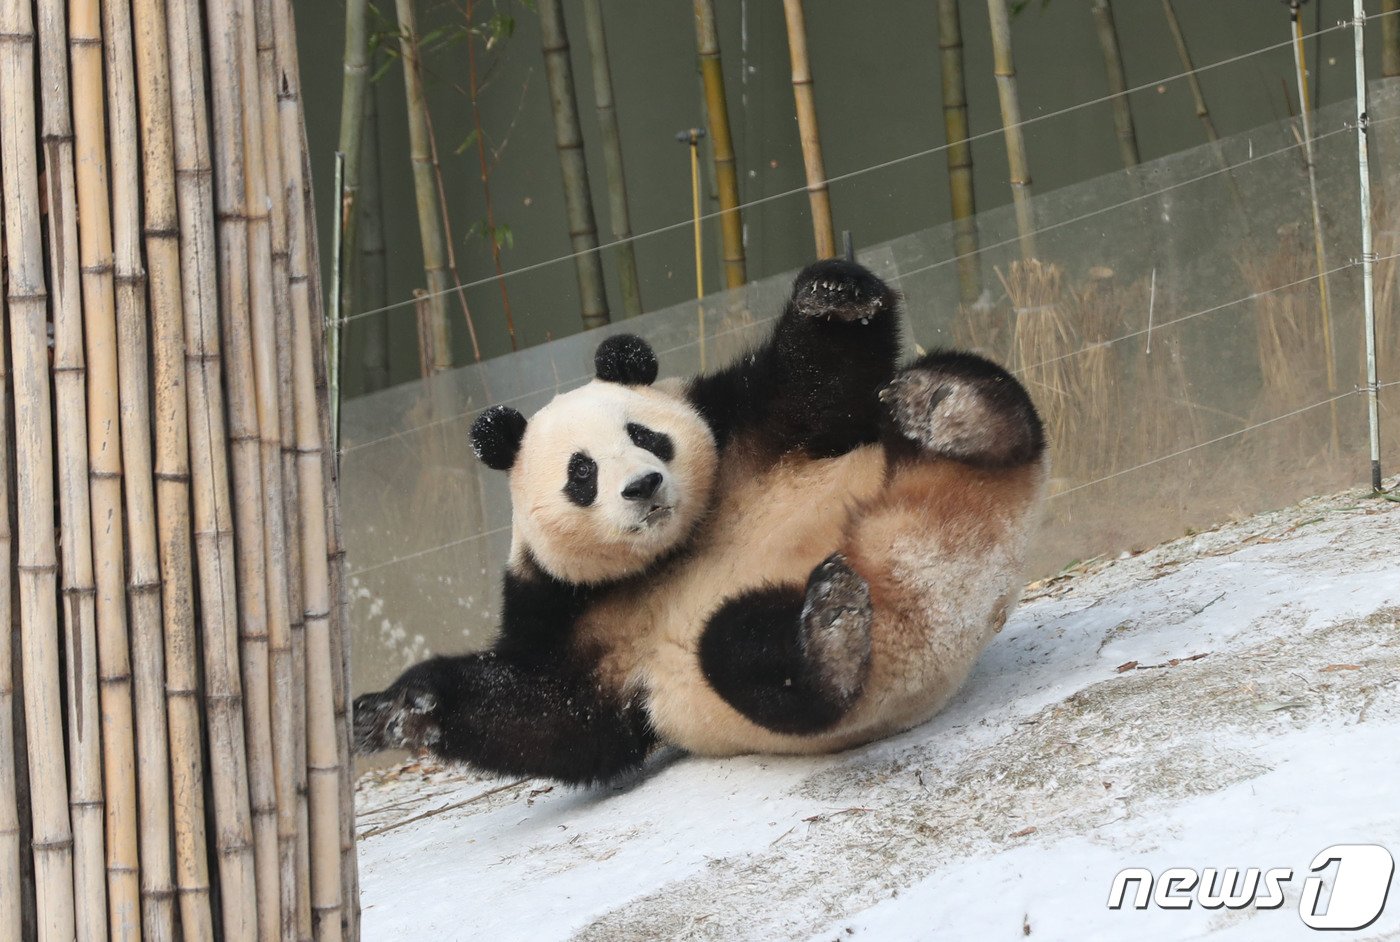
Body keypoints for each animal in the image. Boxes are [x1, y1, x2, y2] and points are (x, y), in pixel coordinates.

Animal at [355, 258, 1047, 783]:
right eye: (582, 474)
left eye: (645, 435)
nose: (642, 486)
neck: (673, 548)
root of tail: (934, 568)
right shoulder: (564, 605)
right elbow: (555, 716)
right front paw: (395, 710)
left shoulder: (738, 430)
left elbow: (818, 392)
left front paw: (832, 295)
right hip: (840, 658)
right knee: (748, 658)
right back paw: (830, 631)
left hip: (927, 462)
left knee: (981, 392)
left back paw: (944, 407)